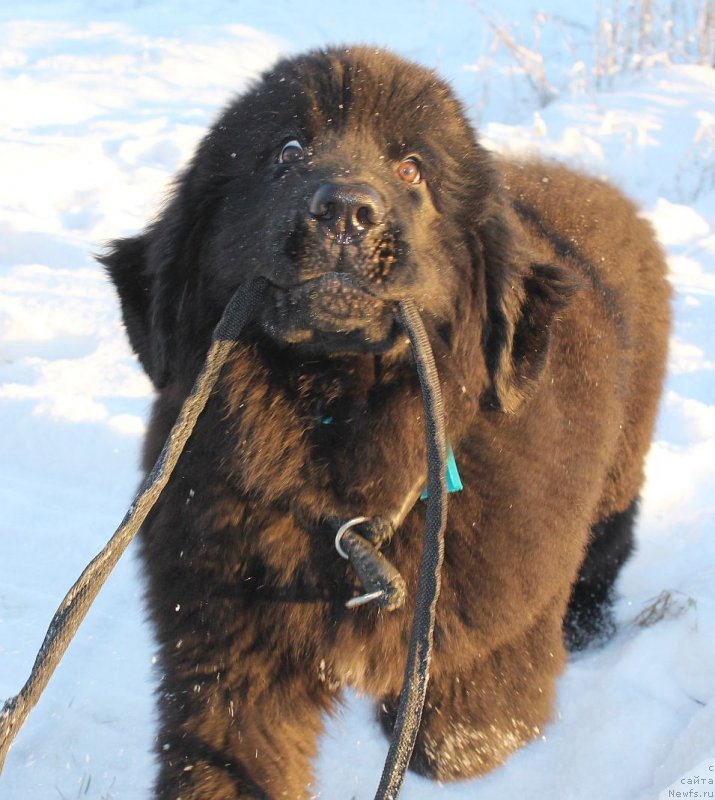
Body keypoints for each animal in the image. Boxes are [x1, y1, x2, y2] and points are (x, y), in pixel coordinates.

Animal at [102, 45, 672, 800]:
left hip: (622, 462)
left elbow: (455, 740)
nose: (346, 210)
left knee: (608, 540)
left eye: (411, 169)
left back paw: (587, 625)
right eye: (287, 151)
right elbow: (224, 758)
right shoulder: (227, 654)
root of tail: (592, 183)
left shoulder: (493, 634)